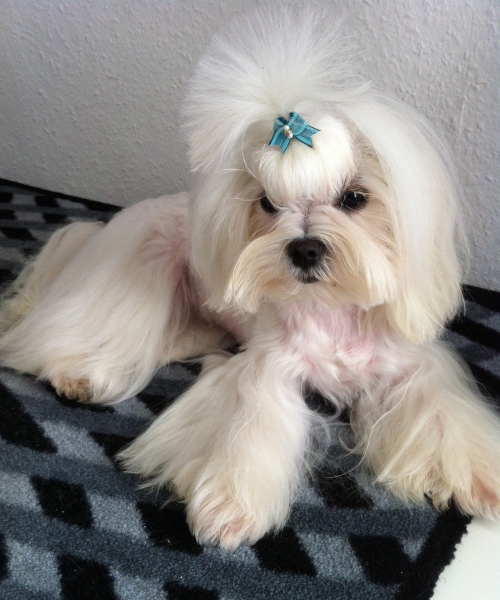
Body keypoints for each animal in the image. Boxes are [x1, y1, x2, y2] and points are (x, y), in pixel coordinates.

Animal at [0, 6, 499, 550]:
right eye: (267, 203)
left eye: (354, 198)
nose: (304, 248)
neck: (330, 311)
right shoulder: (264, 367)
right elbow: (250, 418)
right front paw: (228, 506)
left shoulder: (413, 365)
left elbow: (442, 410)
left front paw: (480, 477)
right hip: (135, 274)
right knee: (69, 333)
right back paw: (78, 374)